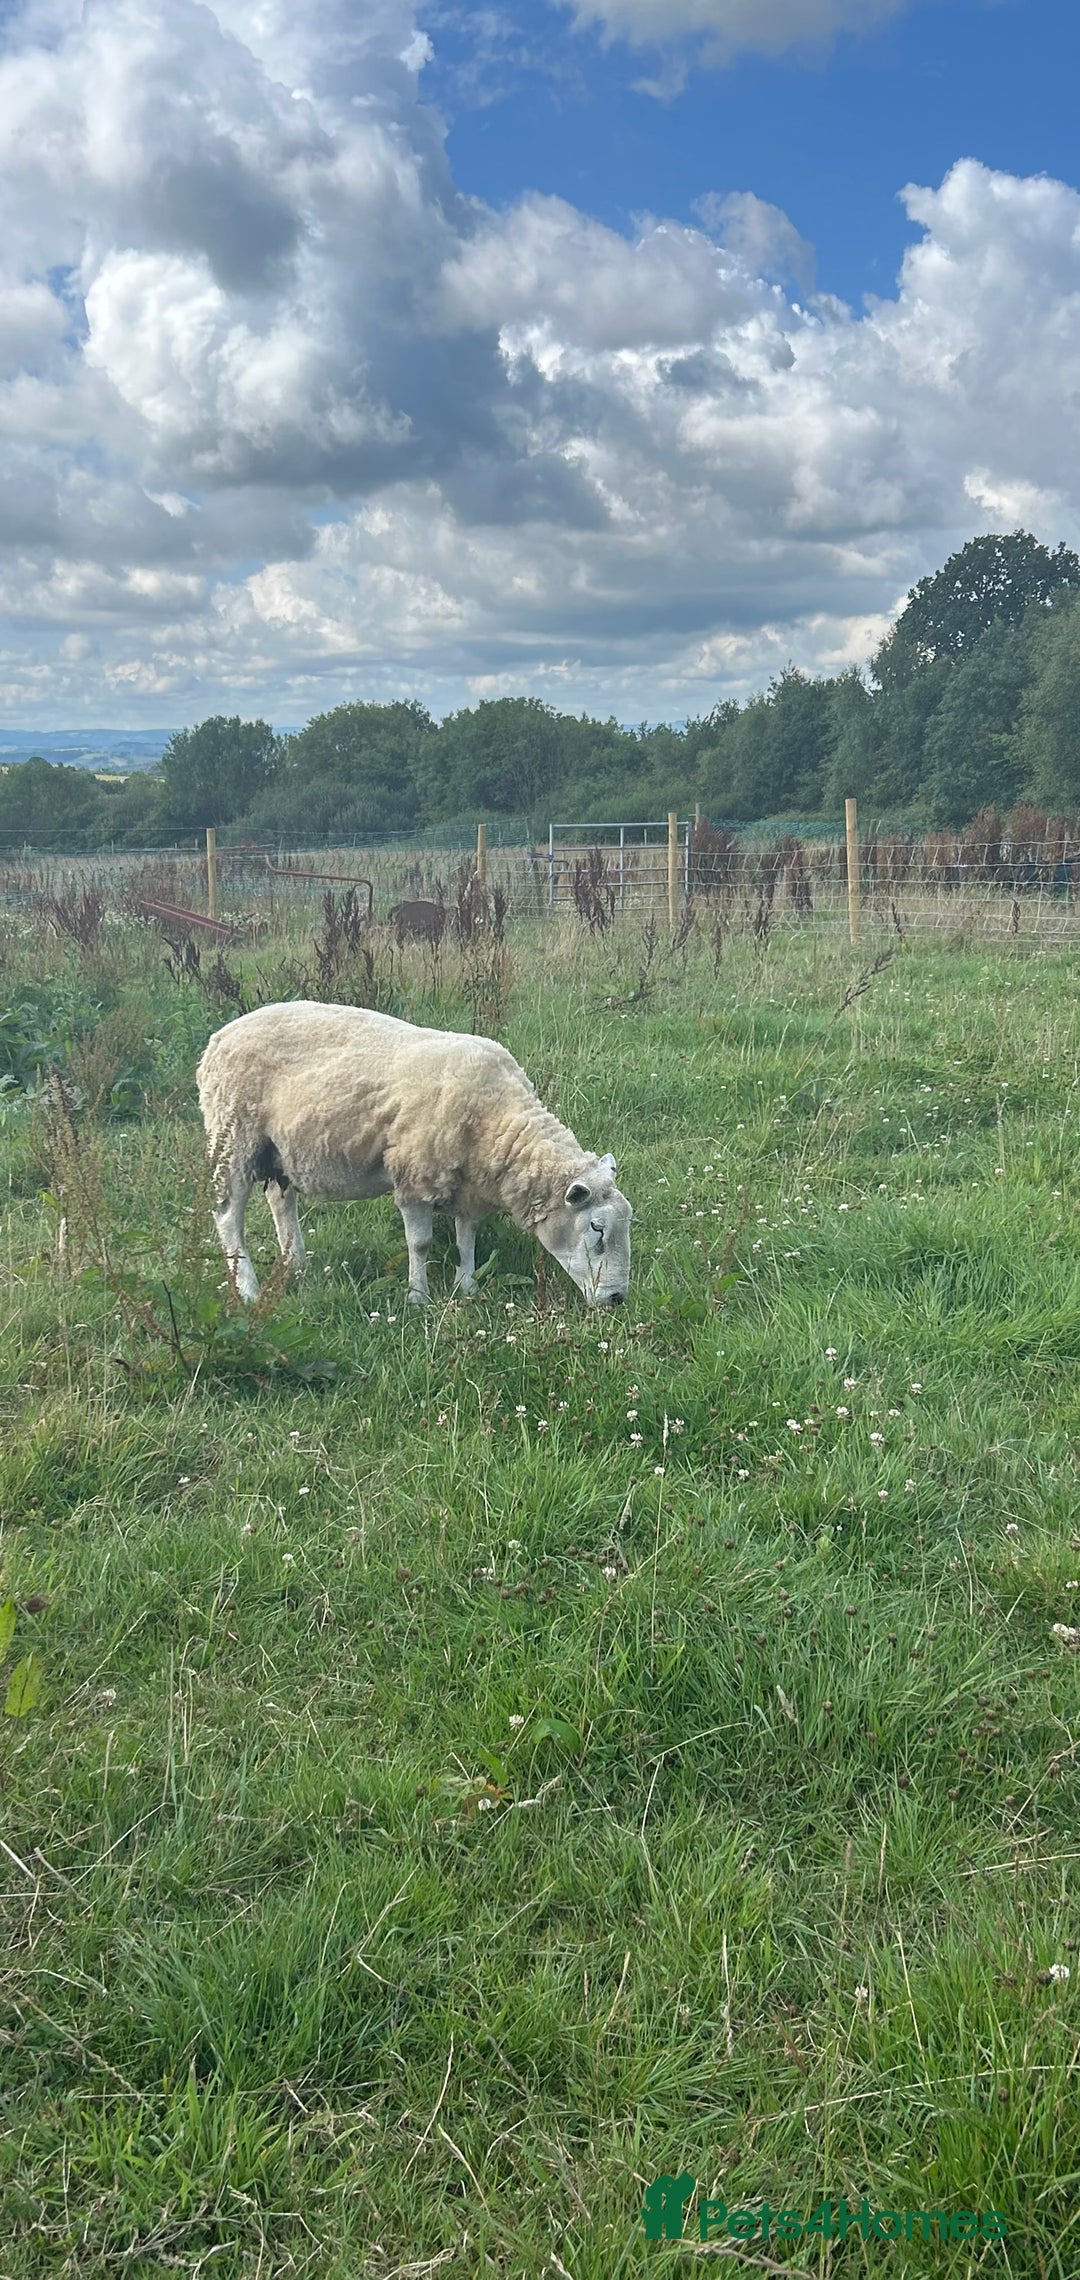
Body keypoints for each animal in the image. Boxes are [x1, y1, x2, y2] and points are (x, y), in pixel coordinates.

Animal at [196, 1000, 632, 1308]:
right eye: (597, 1228)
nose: (616, 1299)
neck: (495, 1114)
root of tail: (218, 1037)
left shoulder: (468, 1184)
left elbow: (466, 1238)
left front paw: (467, 1285)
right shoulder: (415, 1176)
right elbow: (420, 1243)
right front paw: (418, 1297)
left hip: (281, 1151)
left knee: (280, 1200)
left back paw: (296, 1263)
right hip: (233, 1138)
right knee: (228, 1217)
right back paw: (248, 1289)